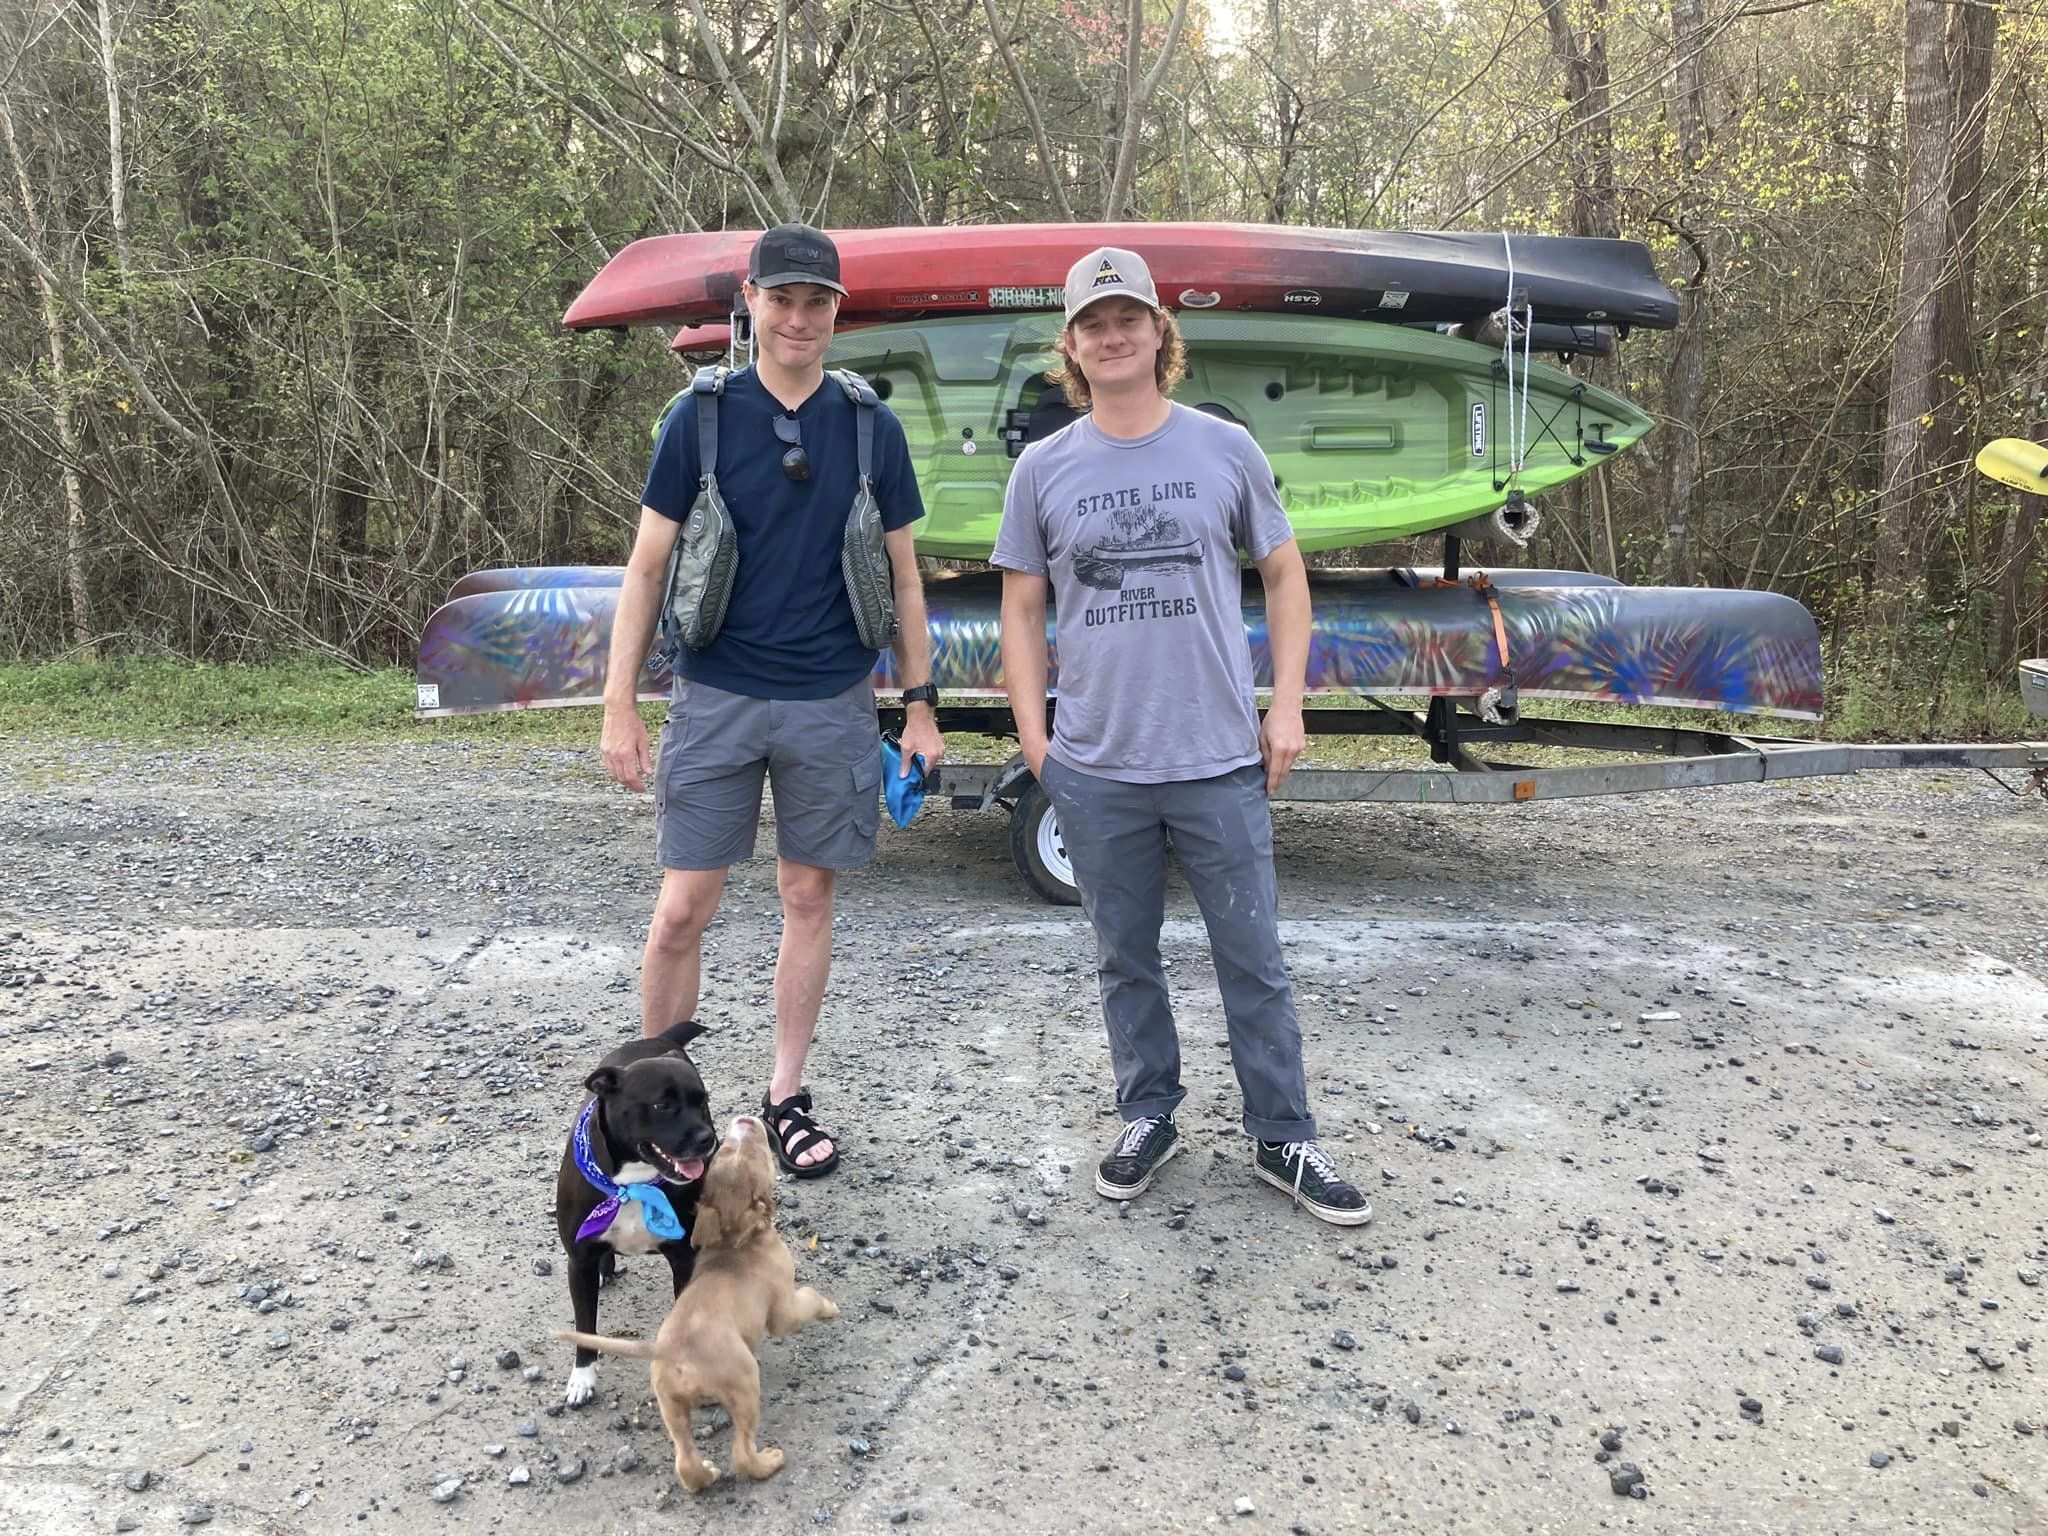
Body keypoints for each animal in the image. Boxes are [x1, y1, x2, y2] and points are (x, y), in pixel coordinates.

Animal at [552, 1024, 720, 1409]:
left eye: (701, 1101)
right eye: (662, 1105)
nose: (708, 1139)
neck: (634, 1183)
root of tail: (660, 1038)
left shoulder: (683, 1258)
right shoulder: (578, 1261)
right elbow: (584, 1326)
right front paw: (582, 1378)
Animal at [552, 1122, 839, 1490]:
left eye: (726, 1150)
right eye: (757, 1155)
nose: (746, 1122)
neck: (734, 1239)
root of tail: (670, 1352)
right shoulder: (783, 1311)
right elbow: (808, 1299)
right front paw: (830, 1308)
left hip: (671, 1407)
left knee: (685, 1460)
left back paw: (705, 1473)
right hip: (745, 1387)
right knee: (741, 1453)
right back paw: (768, 1461)